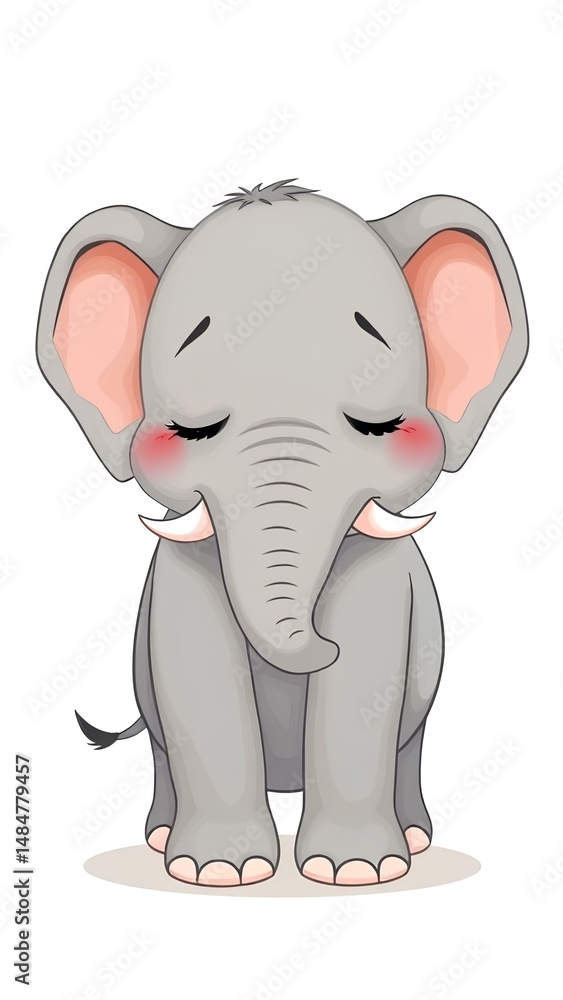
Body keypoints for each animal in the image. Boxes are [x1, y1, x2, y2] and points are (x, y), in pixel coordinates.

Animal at [37, 179, 528, 887]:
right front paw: (219, 873)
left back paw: (414, 840)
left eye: (379, 427)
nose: (320, 642)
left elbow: (367, 676)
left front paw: (354, 873)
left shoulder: (385, 577)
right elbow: (196, 673)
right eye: (189, 434)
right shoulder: (179, 579)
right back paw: (159, 840)